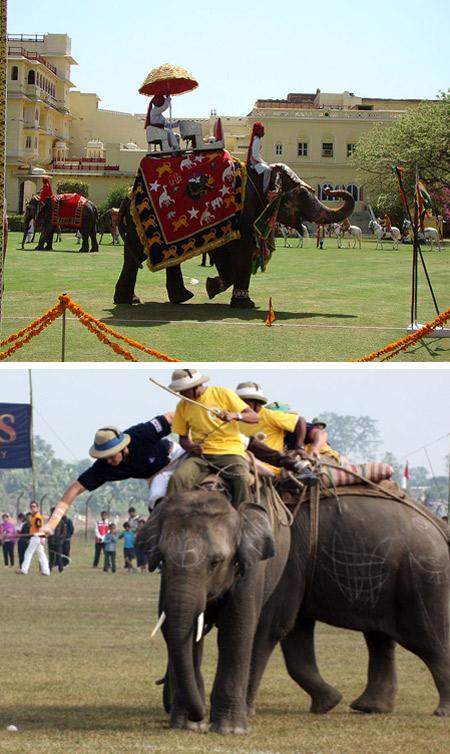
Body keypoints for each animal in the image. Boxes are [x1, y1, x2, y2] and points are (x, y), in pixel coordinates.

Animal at [112, 163, 356, 306]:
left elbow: (224, 251)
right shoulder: (243, 212)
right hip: (139, 225)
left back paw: (149, 299)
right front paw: (244, 303)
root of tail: (127, 196)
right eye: (304, 195)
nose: (330, 189)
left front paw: (212, 287)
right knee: (136, 256)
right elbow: (240, 251)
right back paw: (134, 300)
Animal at [139, 484, 290, 732]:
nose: (199, 715)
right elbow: (182, 634)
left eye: (216, 562)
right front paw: (187, 726)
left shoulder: (248, 569)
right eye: (163, 560)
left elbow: (236, 630)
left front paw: (230, 730)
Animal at [246, 488, 450, 716]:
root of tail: (435, 522)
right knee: (379, 638)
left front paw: (246, 710)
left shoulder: (285, 564)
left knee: (428, 640)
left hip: (421, 580)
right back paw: (370, 707)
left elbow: (270, 623)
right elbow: (295, 629)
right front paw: (328, 703)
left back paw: (441, 711)